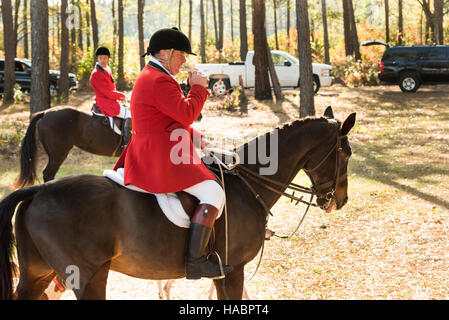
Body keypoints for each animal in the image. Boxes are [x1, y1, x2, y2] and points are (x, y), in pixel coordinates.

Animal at [1, 107, 356, 300]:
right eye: (346, 153)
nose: (340, 200)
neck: (250, 183)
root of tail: (37, 193)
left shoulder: (222, 276)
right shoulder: (233, 271)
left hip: (38, 272)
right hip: (87, 277)